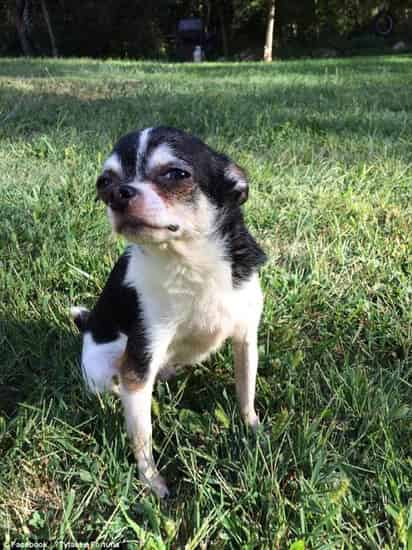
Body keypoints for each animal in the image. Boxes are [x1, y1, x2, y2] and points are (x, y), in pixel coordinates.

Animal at [72, 127, 268, 498]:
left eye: (176, 174)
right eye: (104, 183)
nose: (118, 193)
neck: (190, 264)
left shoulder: (246, 340)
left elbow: (245, 390)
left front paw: (252, 427)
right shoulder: (139, 363)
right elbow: (142, 437)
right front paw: (152, 482)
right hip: (103, 370)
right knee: (113, 388)